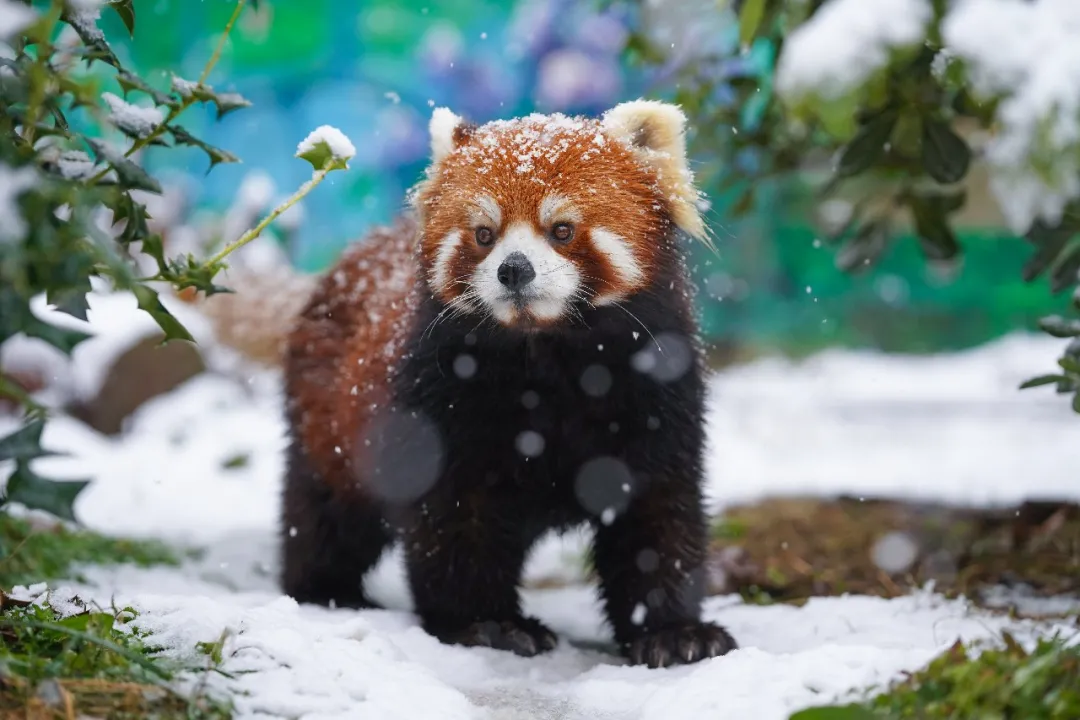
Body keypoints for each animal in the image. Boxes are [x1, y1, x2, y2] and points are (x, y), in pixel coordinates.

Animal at [280, 98, 734, 669]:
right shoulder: (439, 404)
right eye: (483, 234)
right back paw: (325, 591)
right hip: (327, 421)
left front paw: (675, 632)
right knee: (325, 514)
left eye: (561, 229)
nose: (514, 270)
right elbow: (456, 520)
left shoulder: (659, 394)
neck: (546, 358)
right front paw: (487, 624)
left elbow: (658, 516)